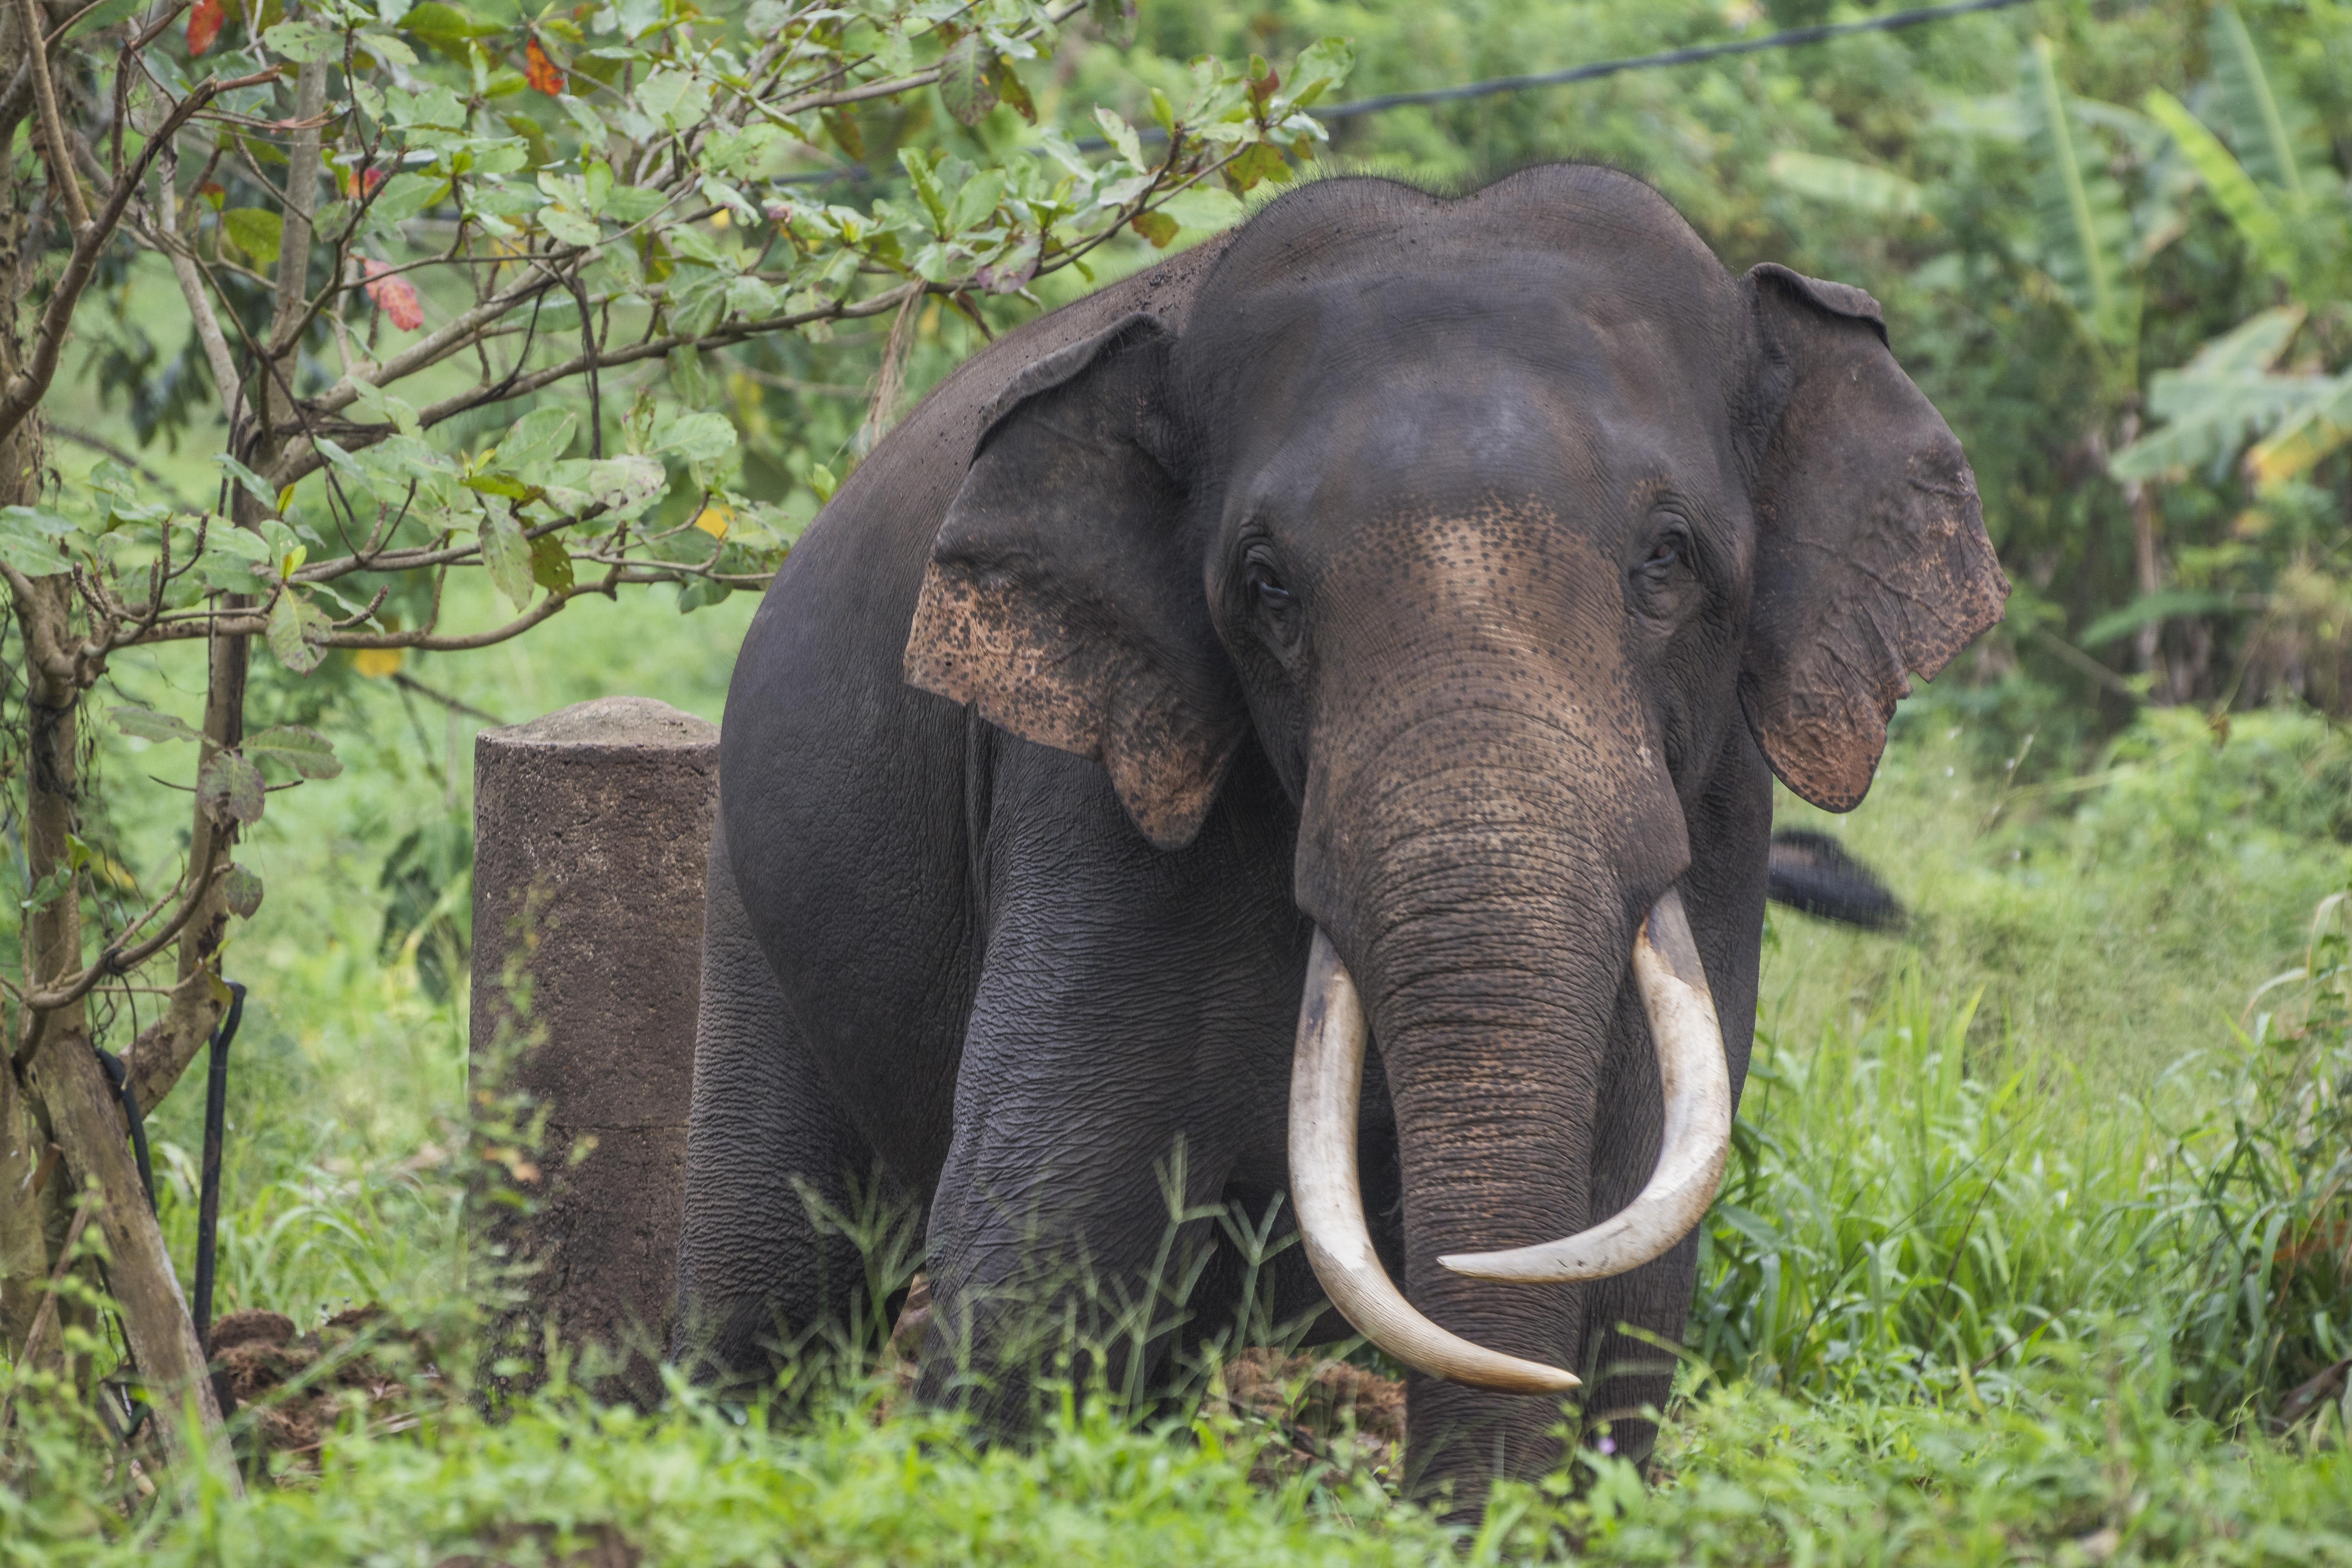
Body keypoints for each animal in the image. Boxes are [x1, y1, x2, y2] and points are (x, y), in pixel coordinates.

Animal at [677, 162, 2004, 1504]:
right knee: (773, 1271)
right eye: (1267, 587)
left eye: (1667, 558)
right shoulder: (1094, 791)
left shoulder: (1723, 797)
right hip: (744, 886)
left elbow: (1634, 1229)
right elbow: (1052, 1219)